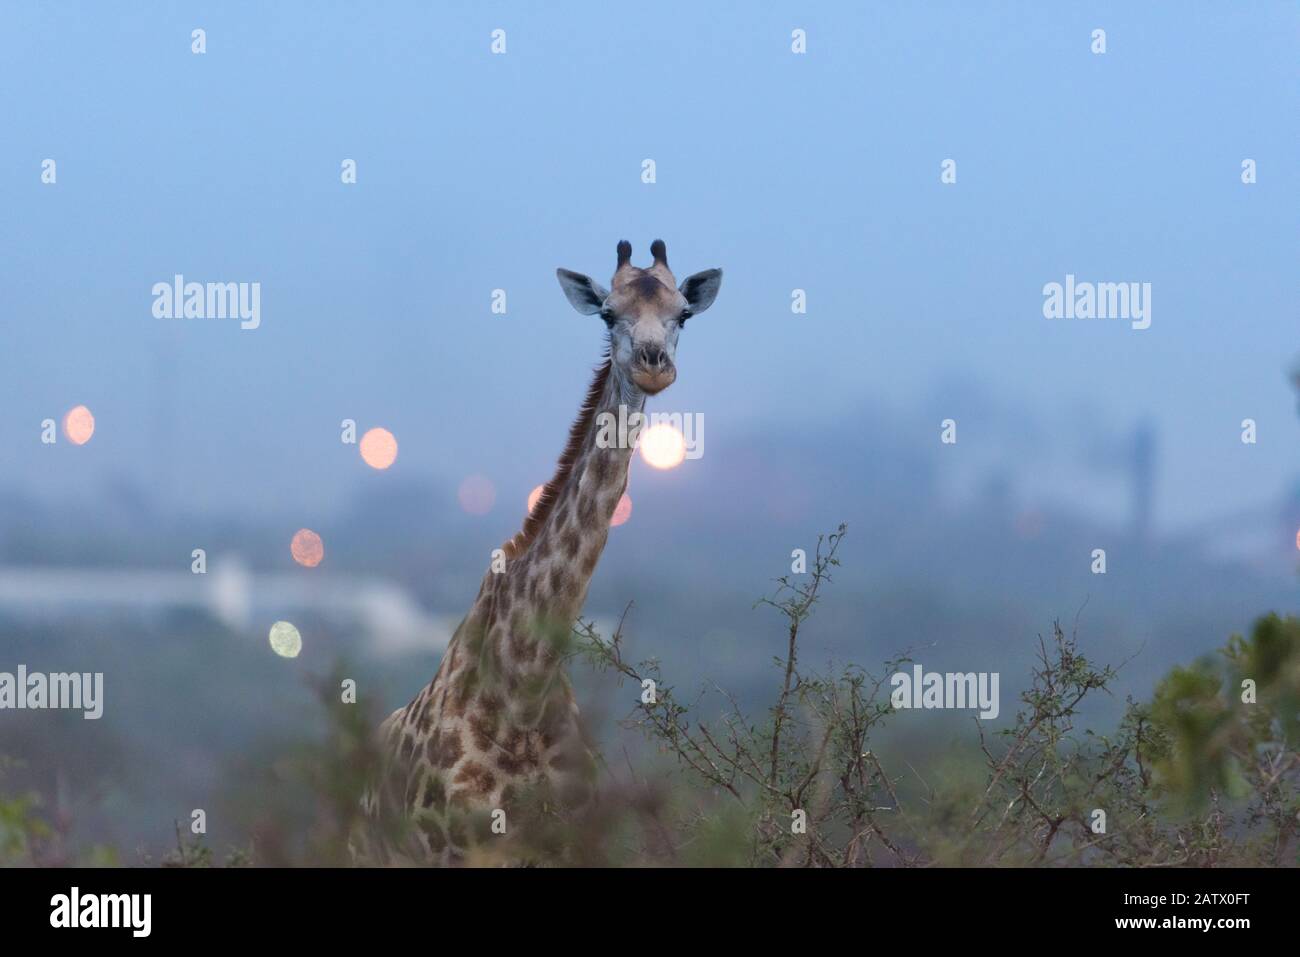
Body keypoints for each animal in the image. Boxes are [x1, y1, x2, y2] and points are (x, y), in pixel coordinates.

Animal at [355, 240, 722, 864]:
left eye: (684, 315)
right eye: (607, 314)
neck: (522, 682)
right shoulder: (457, 852)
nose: (653, 365)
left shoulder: (572, 844)